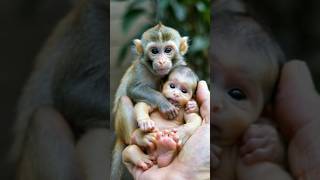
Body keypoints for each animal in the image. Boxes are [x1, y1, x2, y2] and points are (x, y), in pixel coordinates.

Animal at [111, 23, 189, 179]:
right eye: (154, 51)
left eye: (168, 50)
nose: (161, 61)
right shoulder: (140, 68)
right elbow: (132, 89)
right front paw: (165, 104)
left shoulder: (179, 66)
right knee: (124, 100)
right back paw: (138, 138)